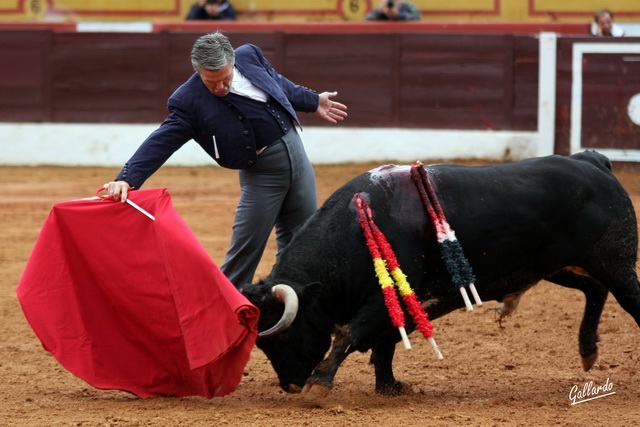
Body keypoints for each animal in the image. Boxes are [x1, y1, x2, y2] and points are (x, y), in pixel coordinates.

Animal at [240, 152, 640, 400]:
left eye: (284, 334)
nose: (290, 385)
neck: (355, 228)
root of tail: (592, 161)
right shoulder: (394, 305)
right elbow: (384, 343)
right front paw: (389, 386)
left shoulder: (385, 297)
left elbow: (351, 333)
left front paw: (319, 384)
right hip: (558, 267)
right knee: (595, 290)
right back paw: (588, 350)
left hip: (617, 264)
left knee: (626, 299)